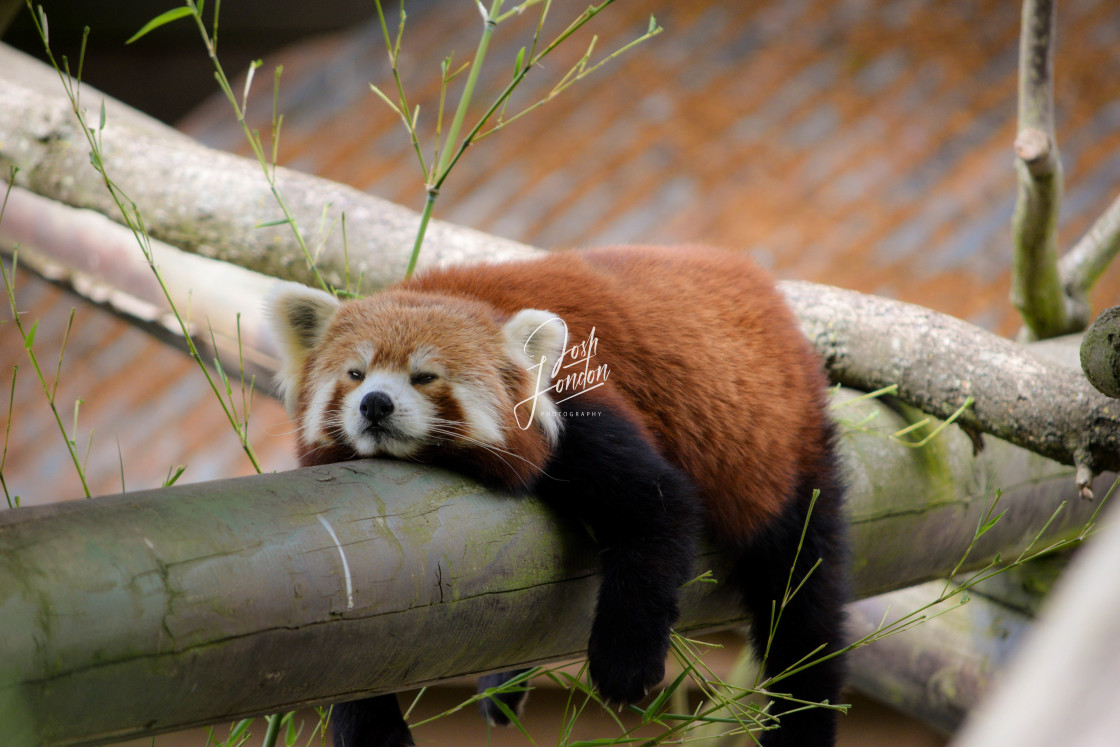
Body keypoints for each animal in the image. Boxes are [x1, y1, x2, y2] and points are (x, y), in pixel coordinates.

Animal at [266, 246, 842, 747]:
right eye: (355, 373)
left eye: (424, 376)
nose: (375, 404)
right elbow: (350, 644)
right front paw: (371, 727)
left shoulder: (579, 407)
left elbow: (658, 508)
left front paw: (624, 665)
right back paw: (502, 685)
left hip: (780, 448)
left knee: (802, 602)